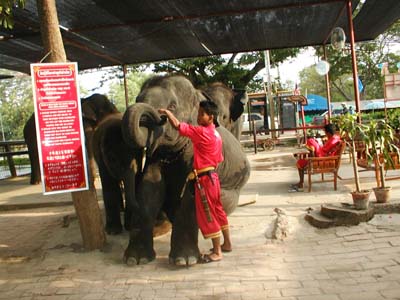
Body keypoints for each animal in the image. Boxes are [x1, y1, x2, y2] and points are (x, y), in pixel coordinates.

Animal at [121, 74, 250, 266]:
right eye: (137, 99)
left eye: (172, 106)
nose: (161, 116)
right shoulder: (156, 158)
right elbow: (148, 189)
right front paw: (136, 259)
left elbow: (191, 195)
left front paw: (184, 261)